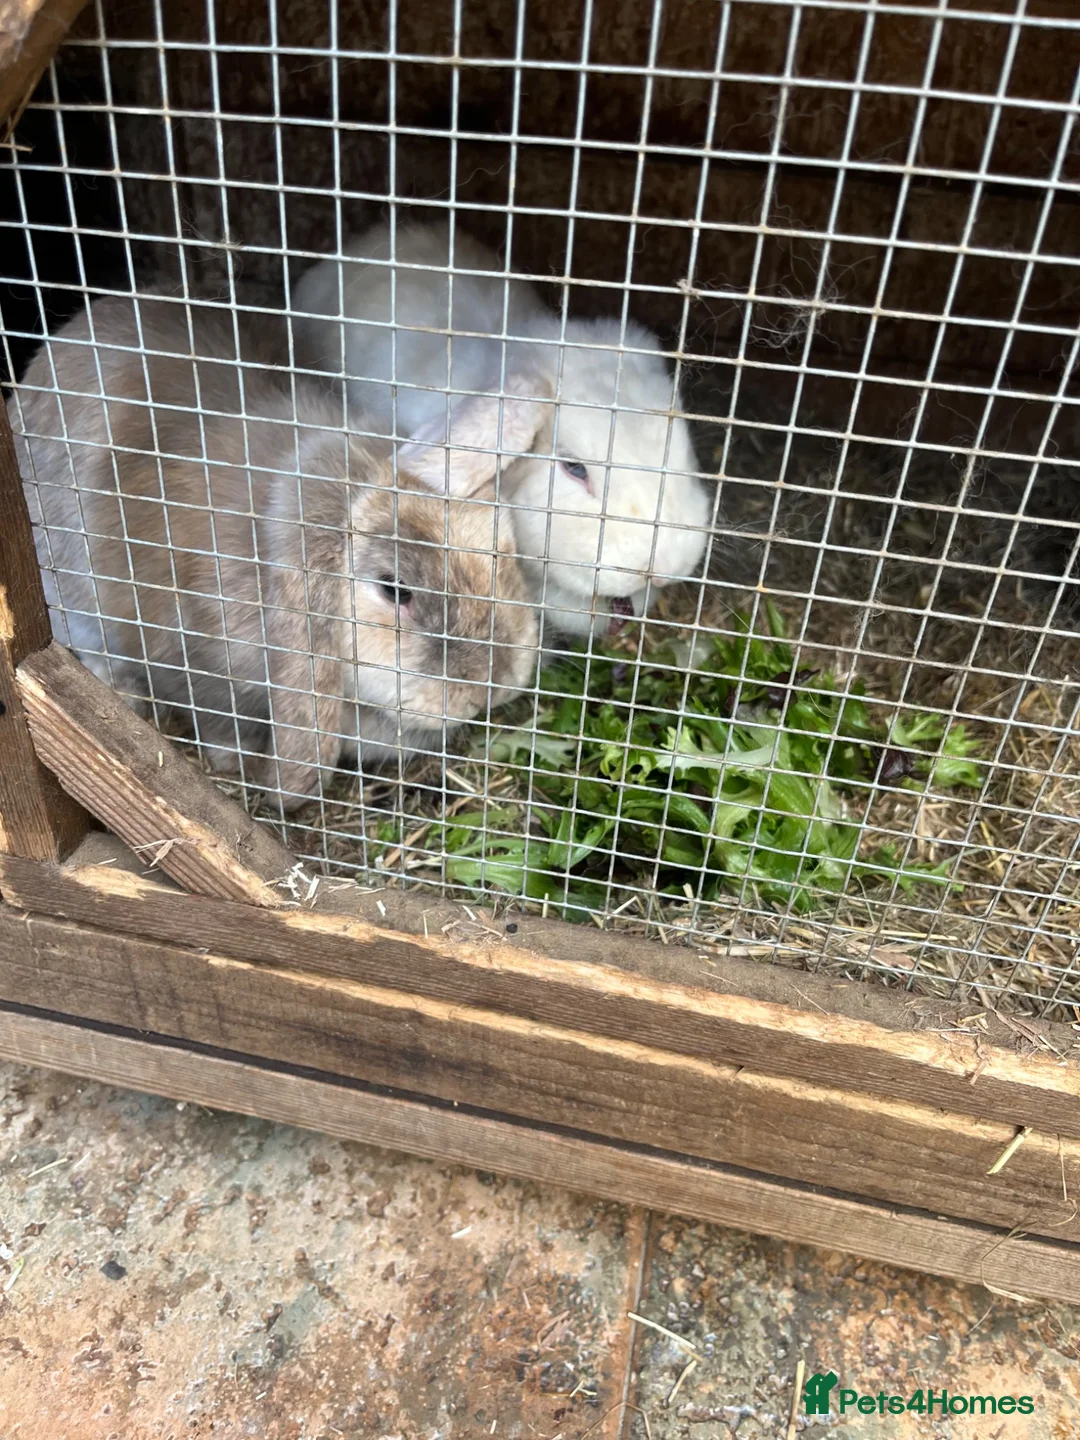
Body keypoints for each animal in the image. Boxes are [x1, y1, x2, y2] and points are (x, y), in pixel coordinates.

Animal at [9, 292, 540, 811]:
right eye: (395, 591)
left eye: (499, 552)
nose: (491, 684)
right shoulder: (194, 667)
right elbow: (220, 722)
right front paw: (238, 764)